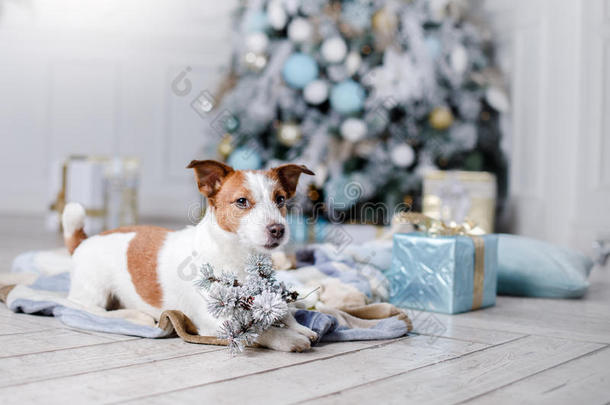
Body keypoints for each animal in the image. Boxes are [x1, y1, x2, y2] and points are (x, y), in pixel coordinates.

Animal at [62, 159, 318, 348]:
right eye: (242, 201)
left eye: (280, 199)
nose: (278, 229)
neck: (239, 258)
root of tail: (83, 240)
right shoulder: (216, 320)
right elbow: (257, 330)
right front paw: (289, 338)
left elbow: (283, 312)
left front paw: (299, 327)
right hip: (94, 292)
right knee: (87, 308)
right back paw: (134, 315)